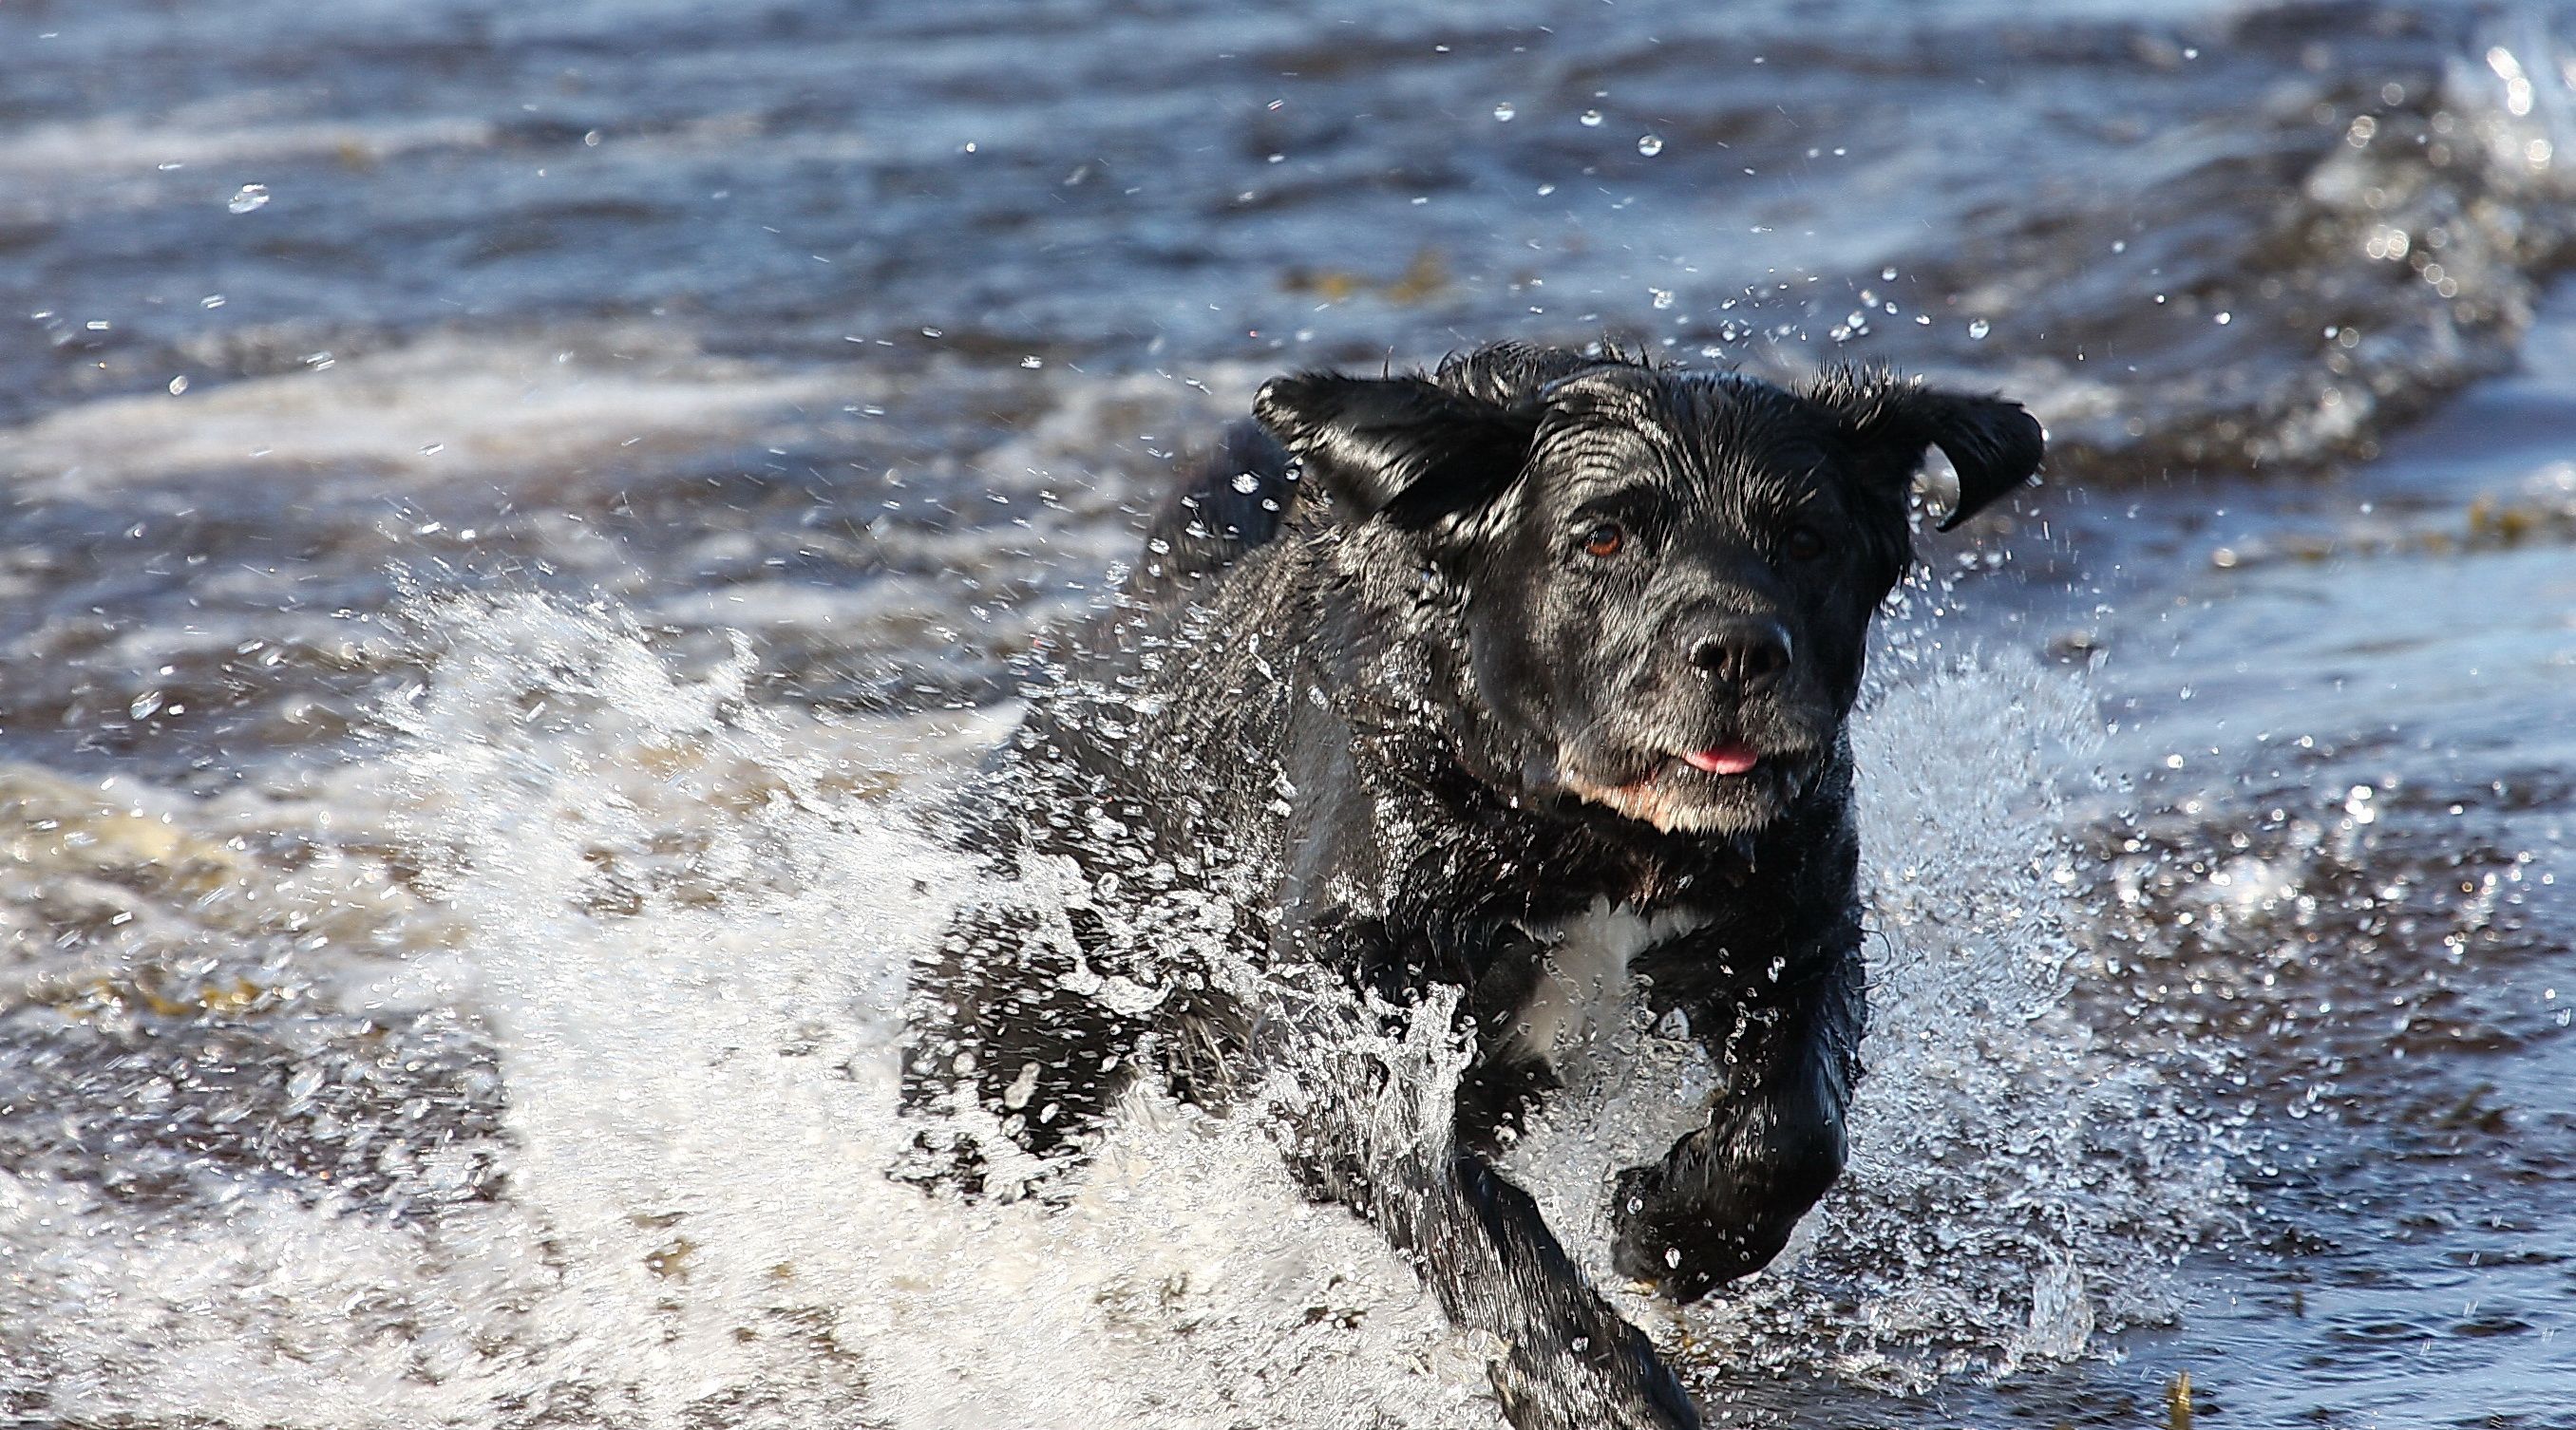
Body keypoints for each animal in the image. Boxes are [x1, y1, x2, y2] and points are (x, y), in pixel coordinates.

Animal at [896, 348, 2039, 1430]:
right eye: (1603, 539)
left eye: (1805, 540)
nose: (1741, 652)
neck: (1583, 829)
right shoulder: (1344, 1040)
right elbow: (1467, 1220)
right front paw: (1595, 1390)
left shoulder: (1792, 935)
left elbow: (1794, 1130)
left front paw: (1668, 1226)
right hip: (1007, 1039)